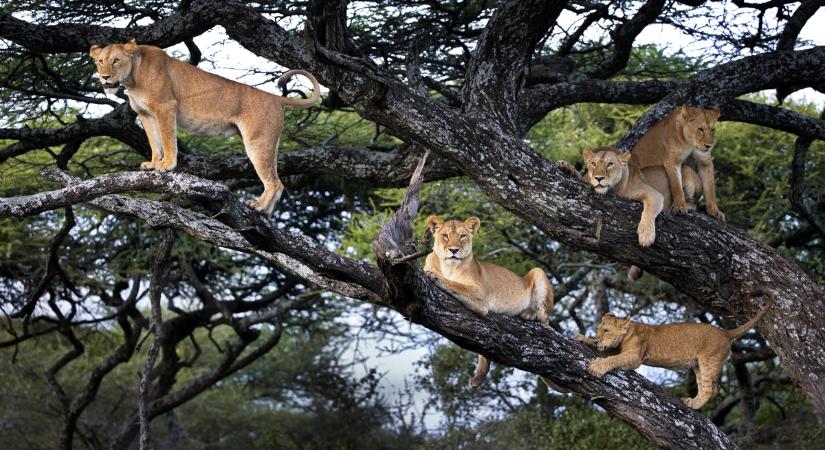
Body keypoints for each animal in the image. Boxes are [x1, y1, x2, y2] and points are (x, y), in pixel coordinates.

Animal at [88, 38, 320, 216]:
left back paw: (259, 207)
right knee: (278, 181)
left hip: (258, 142)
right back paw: (266, 212)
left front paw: (167, 165)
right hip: (269, 143)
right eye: (100, 62)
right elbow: (155, 142)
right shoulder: (146, 115)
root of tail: (275, 98)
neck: (133, 79)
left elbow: (167, 139)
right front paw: (153, 163)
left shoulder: (166, 107)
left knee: (274, 182)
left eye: (116, 60)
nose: (104, 77)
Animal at [424, 214, 552, 386]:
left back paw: (530, 313)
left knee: (546, 319)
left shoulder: (480, 295)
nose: (454, 250)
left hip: (538, 271)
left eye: (462, 236)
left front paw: (435, 276)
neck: (448, 267)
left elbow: (455, 284)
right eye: (445, 236)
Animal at [576, 290, 768, 410]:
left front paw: (596, 367)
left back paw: (694, 404)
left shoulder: (635, 356)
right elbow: (607, 353)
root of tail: (725, 332)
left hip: (709, 361)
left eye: (606, 330)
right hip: (698, 365)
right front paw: (583, 338)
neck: (628, 332)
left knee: (711, 389)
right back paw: (693, 401)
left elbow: (612, 359)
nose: (596, 338)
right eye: (598, 329)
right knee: (706, 387)